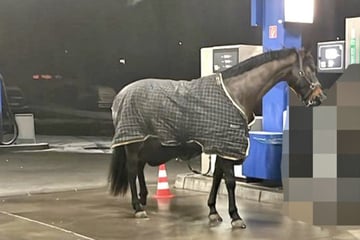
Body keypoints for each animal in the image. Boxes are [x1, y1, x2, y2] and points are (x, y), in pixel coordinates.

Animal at [107, 47, 326, 229]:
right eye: (309, 70)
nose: (319, 98)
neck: (236, 93)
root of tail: (120, 95)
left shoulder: (222, 146)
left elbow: (216, 179)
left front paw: (213, 211)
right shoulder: (227, 147)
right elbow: (229, 182)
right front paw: (235, 216)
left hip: (144, 144)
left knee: (139, 169)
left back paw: (142, 200)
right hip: (134, 144)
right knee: (132, 171)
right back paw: (138, 208)